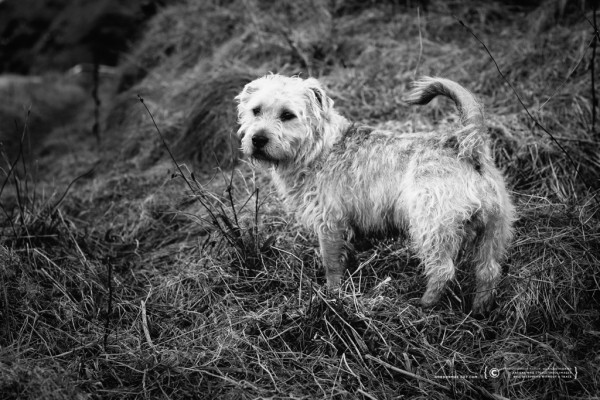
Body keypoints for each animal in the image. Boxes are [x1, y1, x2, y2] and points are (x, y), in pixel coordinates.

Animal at [234, 73, 516, 314]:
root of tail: (465, 144)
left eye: (288, 115)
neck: (319, 148)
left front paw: (331, 296)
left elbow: (331, 264)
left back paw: (424, 303)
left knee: (443, 270)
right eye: (256, 110)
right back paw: (479, 309)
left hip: (431, 227)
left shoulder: (330, 224)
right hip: (493, 231)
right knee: (488, 270)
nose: (257, 139)